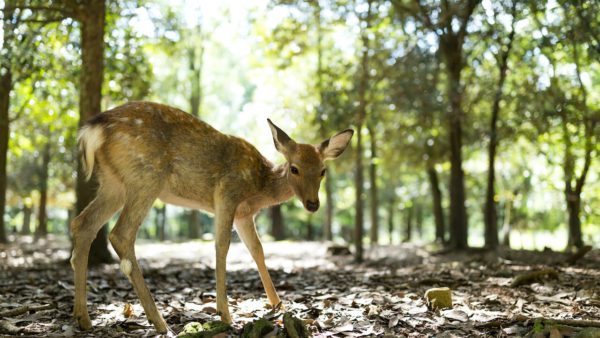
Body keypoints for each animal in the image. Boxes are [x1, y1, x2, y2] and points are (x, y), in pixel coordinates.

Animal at [69, 100, 354, 332]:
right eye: (294, 169)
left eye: (323, 171)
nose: (313, 204)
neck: (259, 186)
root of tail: (94, 129)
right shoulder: (227, 193)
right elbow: (222, 246)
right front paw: (225, 314)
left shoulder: (244, 215)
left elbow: (257, 250)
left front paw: (277, 305)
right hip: (145, 176)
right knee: (121, 234)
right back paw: (159, 322)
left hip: (113, 182)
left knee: (82, 223)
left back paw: (83, 318)